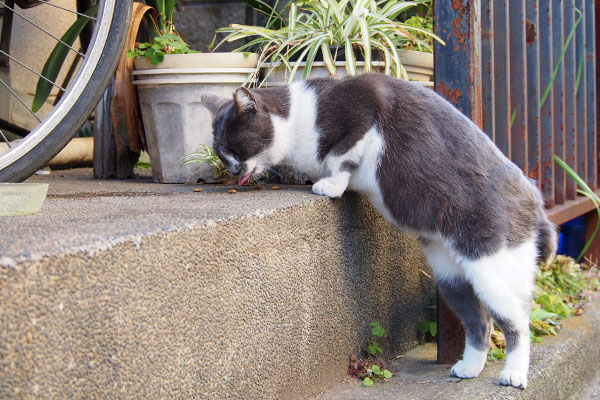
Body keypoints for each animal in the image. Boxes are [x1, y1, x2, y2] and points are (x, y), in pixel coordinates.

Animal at [202, 73, 556, 390]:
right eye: (221, 153)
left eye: (236, 147)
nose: (232, 170)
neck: (300, 119)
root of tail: (534, 198)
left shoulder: (363, 110)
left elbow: (342, 157)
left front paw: (329, 185)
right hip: (451, 277)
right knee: (479, 322)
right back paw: (469, 367)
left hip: (492, 271)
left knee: (518, 322)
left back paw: (514, 375)